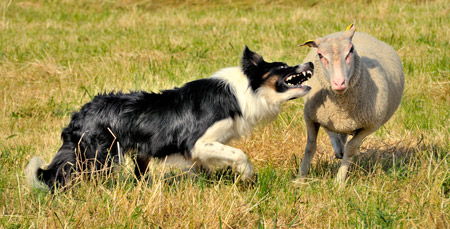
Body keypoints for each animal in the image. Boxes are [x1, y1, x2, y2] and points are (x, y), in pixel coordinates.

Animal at [296, 22, 404, 184]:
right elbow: (310, 147)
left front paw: (339, 182)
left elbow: (351, 149)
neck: (341, 107)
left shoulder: (369, 126)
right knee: (331, 131)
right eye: (320, 55)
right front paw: (300, 179)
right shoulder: (310, 117)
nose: (339, 83)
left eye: (351, 51)